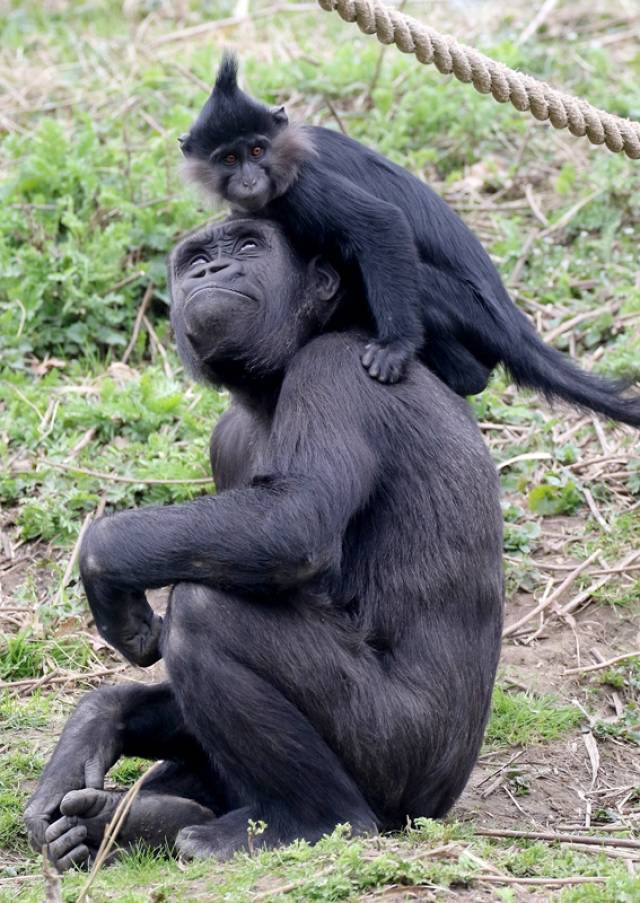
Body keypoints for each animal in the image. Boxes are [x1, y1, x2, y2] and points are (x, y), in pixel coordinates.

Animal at [23, 217, 504, 868]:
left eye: (249, 247)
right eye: (195, 260)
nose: (212, 271)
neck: (272, 384)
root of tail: (443, 798)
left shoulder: (334, 370)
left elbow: (293, 520)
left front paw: (101, 562)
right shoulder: (226, 440)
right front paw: (94, 726)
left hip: (397, 761)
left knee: (207, 615)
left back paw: (309, 819)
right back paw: (130, 820)